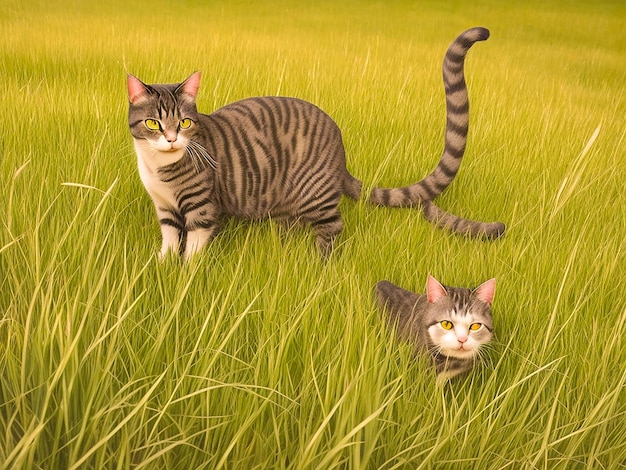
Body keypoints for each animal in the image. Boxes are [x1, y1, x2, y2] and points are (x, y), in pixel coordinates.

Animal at [125, 26, 502, 260]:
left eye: (185, 123)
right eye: (153, 123)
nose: (171, 139)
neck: (158, 168)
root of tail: (339, 150)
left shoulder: (202, 209)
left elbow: (194, 247)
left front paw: (187, 274)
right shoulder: (165, 209)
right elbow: (170, 240)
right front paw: (162, 265)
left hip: (315, 194)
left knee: (332, 226)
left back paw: (319, 263)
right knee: (289, 226)